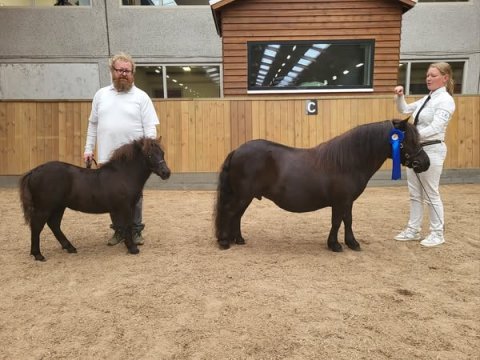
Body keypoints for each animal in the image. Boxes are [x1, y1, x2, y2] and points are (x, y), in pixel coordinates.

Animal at [19, 136, 172, 260]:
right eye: (150, 155)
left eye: (162, 153)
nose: (166, 173)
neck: (123, 175)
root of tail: (34, 171)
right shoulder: (125, 207)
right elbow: (128, 225)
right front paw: (133, 248)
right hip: (44, 208)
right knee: (37, 227)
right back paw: (38, 255)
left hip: (58, 207)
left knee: (54, 225)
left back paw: (69, 247)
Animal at [215, 119, 432, 252]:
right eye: (408, 140)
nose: (425, 163)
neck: (348, 161)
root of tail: (236, 150)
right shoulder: (340, 201)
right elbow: (337, 221)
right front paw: (335, 245)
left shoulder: (347, 202)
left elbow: (348, 220)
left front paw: (352, 243)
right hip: (242, 195)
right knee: (229, 212)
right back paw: (224, 241)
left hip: (246, 196)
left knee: (237, 215)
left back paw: (238, 240)